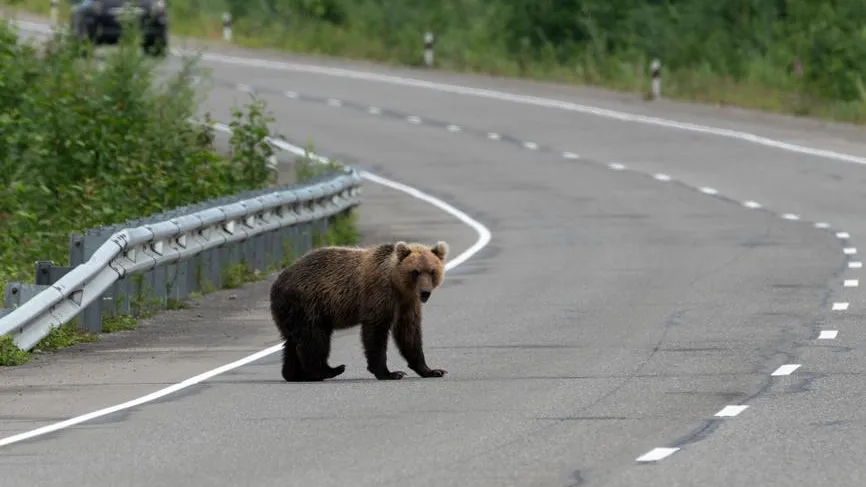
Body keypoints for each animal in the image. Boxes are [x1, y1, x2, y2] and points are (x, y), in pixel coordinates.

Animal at [269, 239, 450, 382]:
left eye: (432, 271)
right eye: (415, 272)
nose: (425, 292)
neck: (398, 285)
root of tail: (275, 285)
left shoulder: (407, 303)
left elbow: (409, 332)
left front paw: (432, 370)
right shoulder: (379, 294)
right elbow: (376, 331)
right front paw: (390, 373)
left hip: (292, 312)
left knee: (293, 341)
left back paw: (294, 374)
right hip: (307, 304)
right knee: (314, 338)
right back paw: (327, 370)